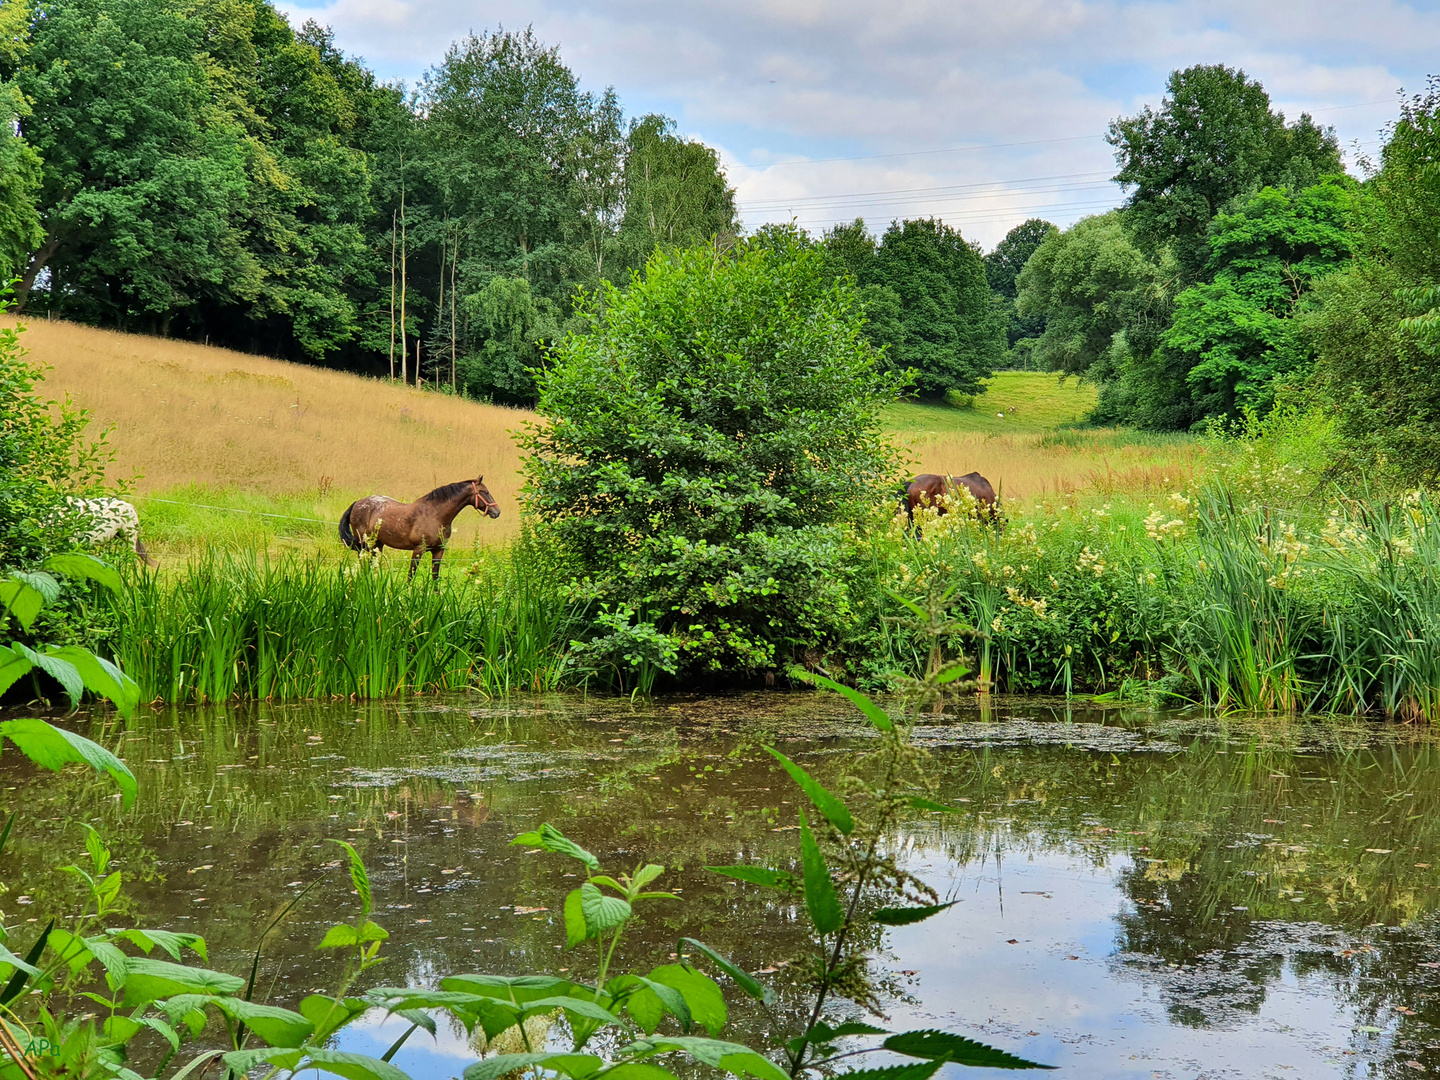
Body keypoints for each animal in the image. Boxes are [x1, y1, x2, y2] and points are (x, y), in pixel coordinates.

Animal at [336, 478, 501, 584]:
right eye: (485, 492)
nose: (497, 512)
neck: (436, 515)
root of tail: (357, 503)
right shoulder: (418, 549)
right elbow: (411, 575)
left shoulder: (438, 550)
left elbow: (435, 575)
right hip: (365, 545)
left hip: (377, 545)